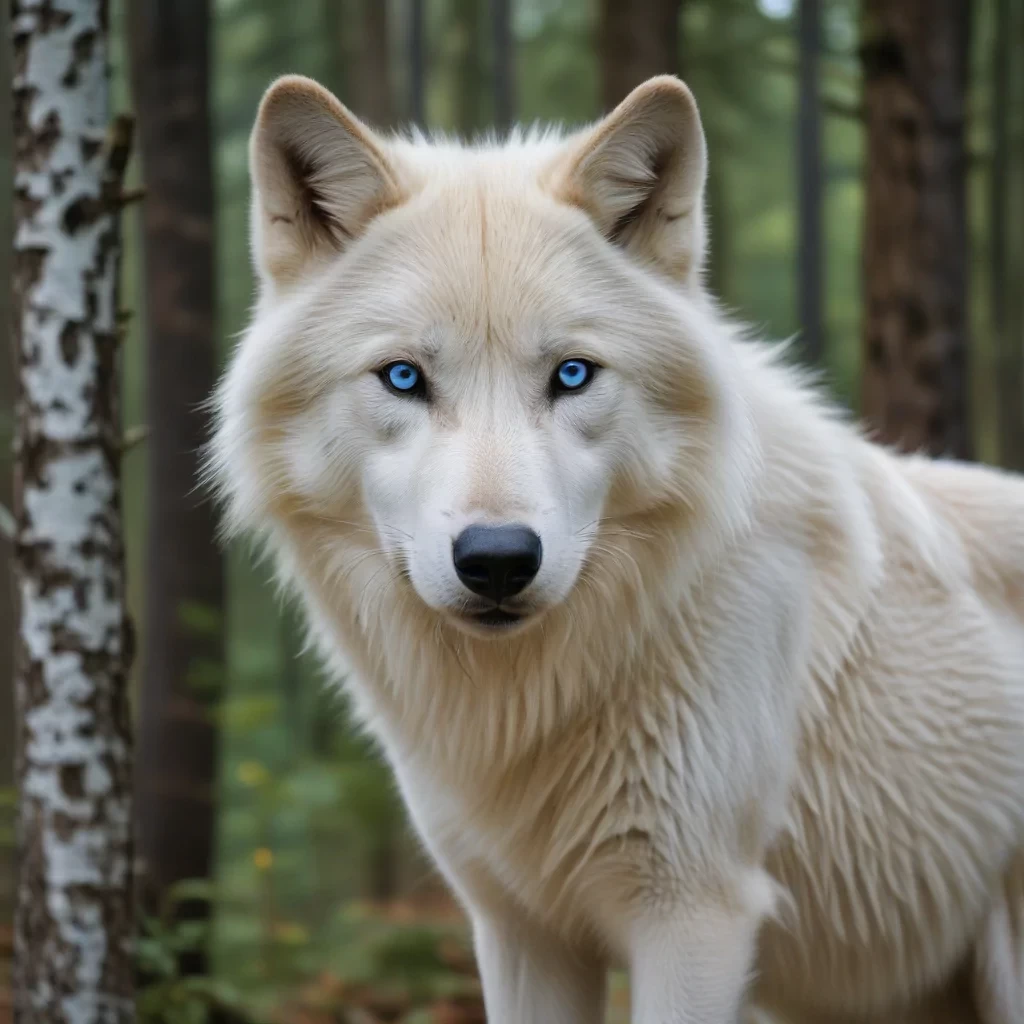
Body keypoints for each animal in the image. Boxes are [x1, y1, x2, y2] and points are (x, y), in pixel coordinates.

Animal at [209, 73, 1024, 1023]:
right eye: (404, 377)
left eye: (572, 375)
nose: (497, 558)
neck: (534, 701)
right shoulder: (519, 930)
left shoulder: (694, 919)